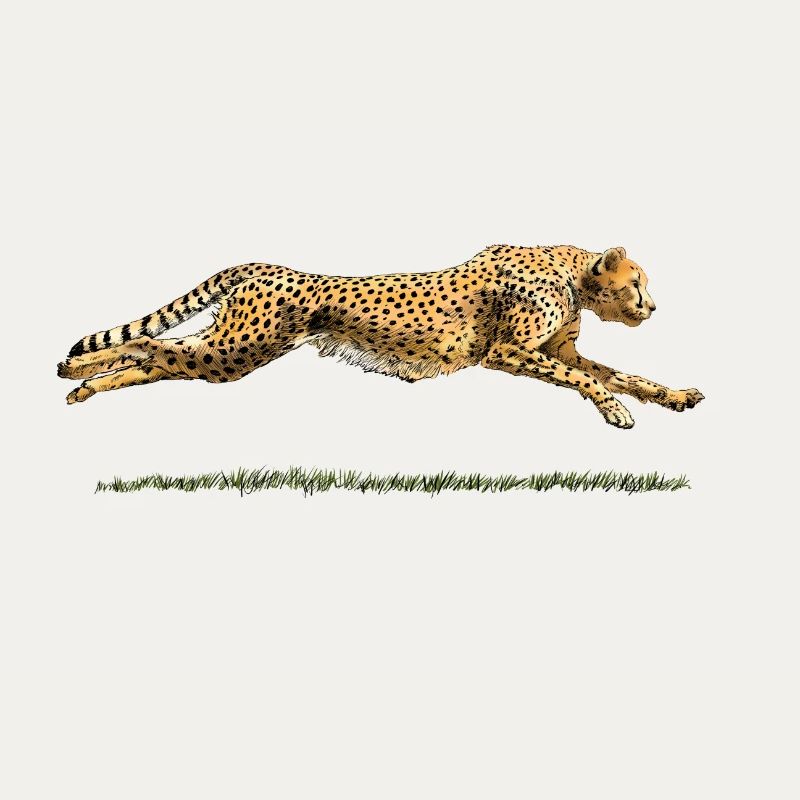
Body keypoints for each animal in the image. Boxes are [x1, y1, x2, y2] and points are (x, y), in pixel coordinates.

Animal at [57, 244, 704, 428]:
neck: (573, 274)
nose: (653, 307)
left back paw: (79, 386)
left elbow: (621, 374)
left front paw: (674, 396)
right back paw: (72, 369)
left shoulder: (554, 349)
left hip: (229, 353)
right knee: (150, 346)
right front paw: (616, 411)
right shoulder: (506, 351)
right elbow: (580, 378)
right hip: (237, 350)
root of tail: (265, 265)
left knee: (160, 358)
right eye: (637, 282)